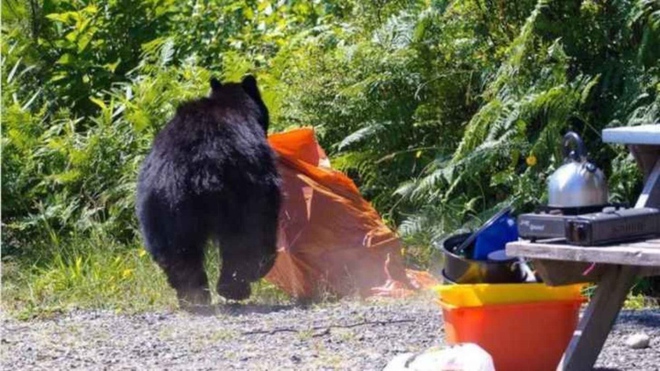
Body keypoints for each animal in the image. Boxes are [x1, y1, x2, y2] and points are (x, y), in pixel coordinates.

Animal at [138, 75, 282, 310]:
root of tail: (198, 170)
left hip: (162, 203)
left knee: (177, 251)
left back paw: (193, 296)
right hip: (242, 190)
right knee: (245, 237)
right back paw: (235, 287)